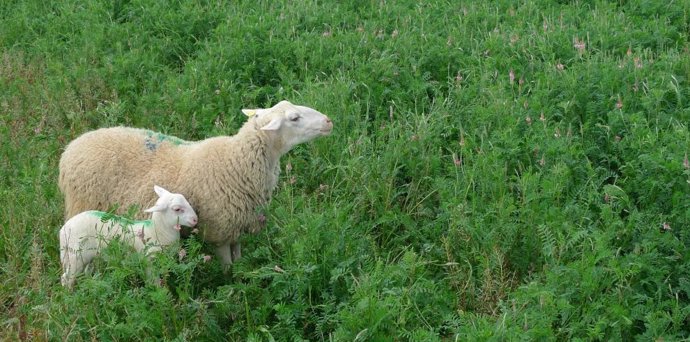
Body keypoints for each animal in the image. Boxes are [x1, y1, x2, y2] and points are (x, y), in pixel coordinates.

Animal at [57, 100, 332, 272]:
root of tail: (69, 150)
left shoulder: (237, 226)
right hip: (81, 209)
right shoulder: (219, 230)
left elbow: (239, 258)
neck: (236, 162)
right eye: (294, 118)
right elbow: (228, 268)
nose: (329, 121)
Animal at [59, 184, 196, 288]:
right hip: (75, 256)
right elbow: (154, 281)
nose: (195, 219)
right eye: (177, 209)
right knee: (67, 278)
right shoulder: (148, 261)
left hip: (87, 257)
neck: (157, 230)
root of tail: (63, 230)